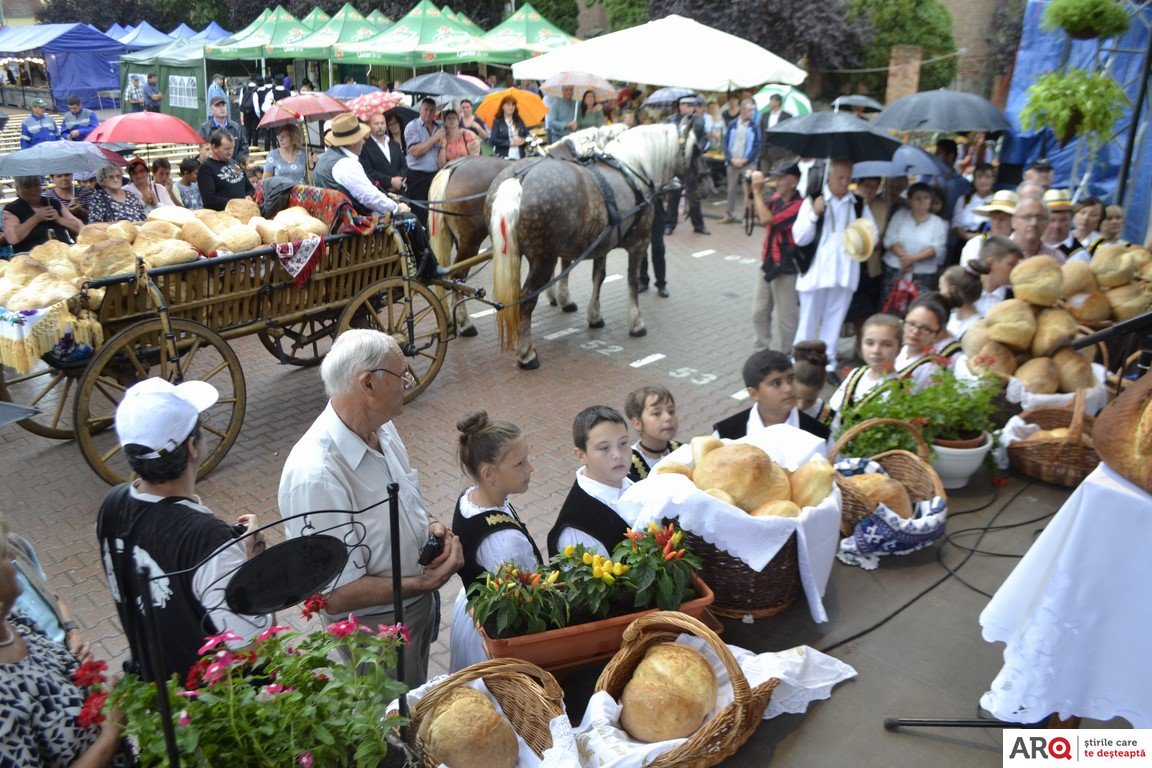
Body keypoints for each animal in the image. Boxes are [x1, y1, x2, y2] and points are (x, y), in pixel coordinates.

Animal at [483, 123, 691, 368]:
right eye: (696, 148)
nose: (682, 185)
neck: (632, 170)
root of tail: (519, 177)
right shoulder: (638, 244)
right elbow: (632, 281)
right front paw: (636, 323)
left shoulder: (601, 244)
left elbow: (598, 277)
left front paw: (593, 316)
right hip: (544, 258)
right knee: (526, 299)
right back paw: (527, 354)